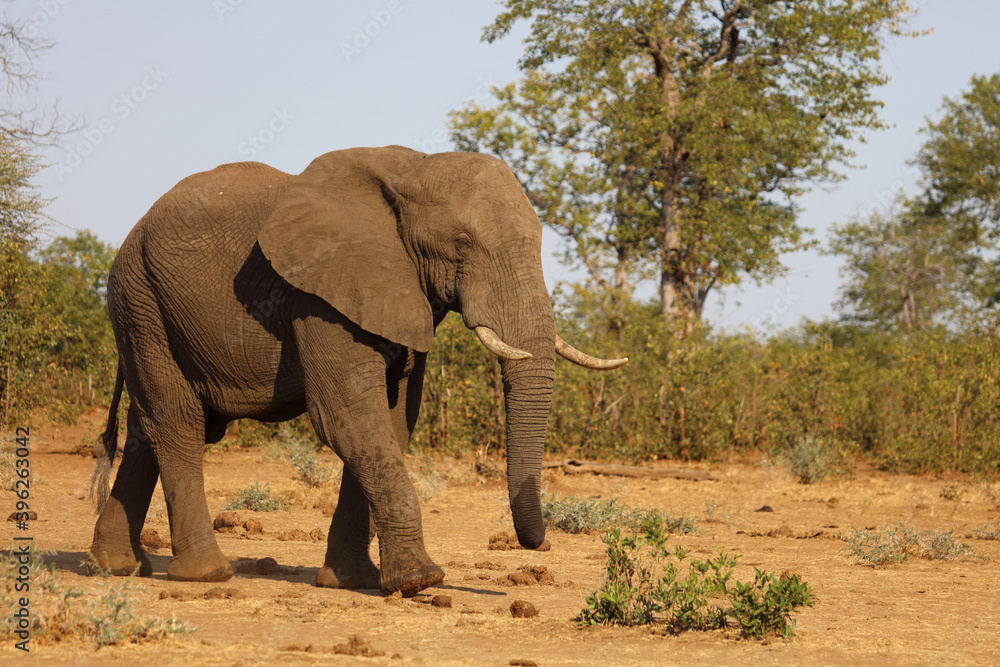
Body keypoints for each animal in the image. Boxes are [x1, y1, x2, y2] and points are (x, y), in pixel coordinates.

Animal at [89, 145, 627, 595]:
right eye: (461, 242)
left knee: (147, 428)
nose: (540, 545)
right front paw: (419, 581)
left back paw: (116, 567)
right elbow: (347, 417)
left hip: (146, 307)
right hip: (140, 300)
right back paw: (206, 575)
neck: (409, 171)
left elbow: (392, 420)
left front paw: (352, 581)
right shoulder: (317, 295)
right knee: (178, 422)